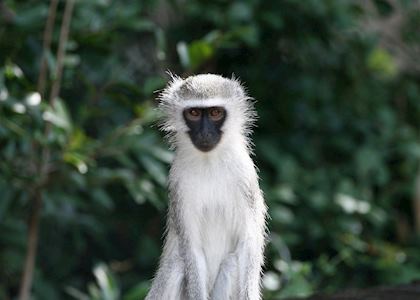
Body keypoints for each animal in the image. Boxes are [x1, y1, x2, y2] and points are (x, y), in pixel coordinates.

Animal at [146, 73, 268, 300]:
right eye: (194, 113)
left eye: (215, 112)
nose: (204, 133)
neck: (209, 161)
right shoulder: (178, 183)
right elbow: (192, 249)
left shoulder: (244, 174)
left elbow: (247, 243)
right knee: (177, 263)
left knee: (231, 263)